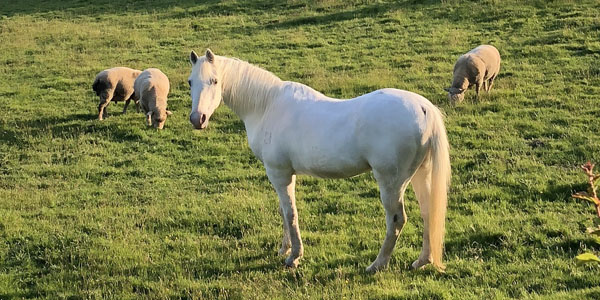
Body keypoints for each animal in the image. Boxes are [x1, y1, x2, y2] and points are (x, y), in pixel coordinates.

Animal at [188, 49, 450, 272]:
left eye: (214, 81)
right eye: (191, 82)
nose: (197, 119)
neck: (267, 106)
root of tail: (424, 108)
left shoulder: (279, 173)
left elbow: (290, 213)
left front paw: (294, 257)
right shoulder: (286, 174)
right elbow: (284, 211)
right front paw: (285, 249)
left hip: (391, 182)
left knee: (396, 220)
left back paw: (377, 264)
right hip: (419, 175)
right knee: (428, 212)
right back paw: (422, 260)